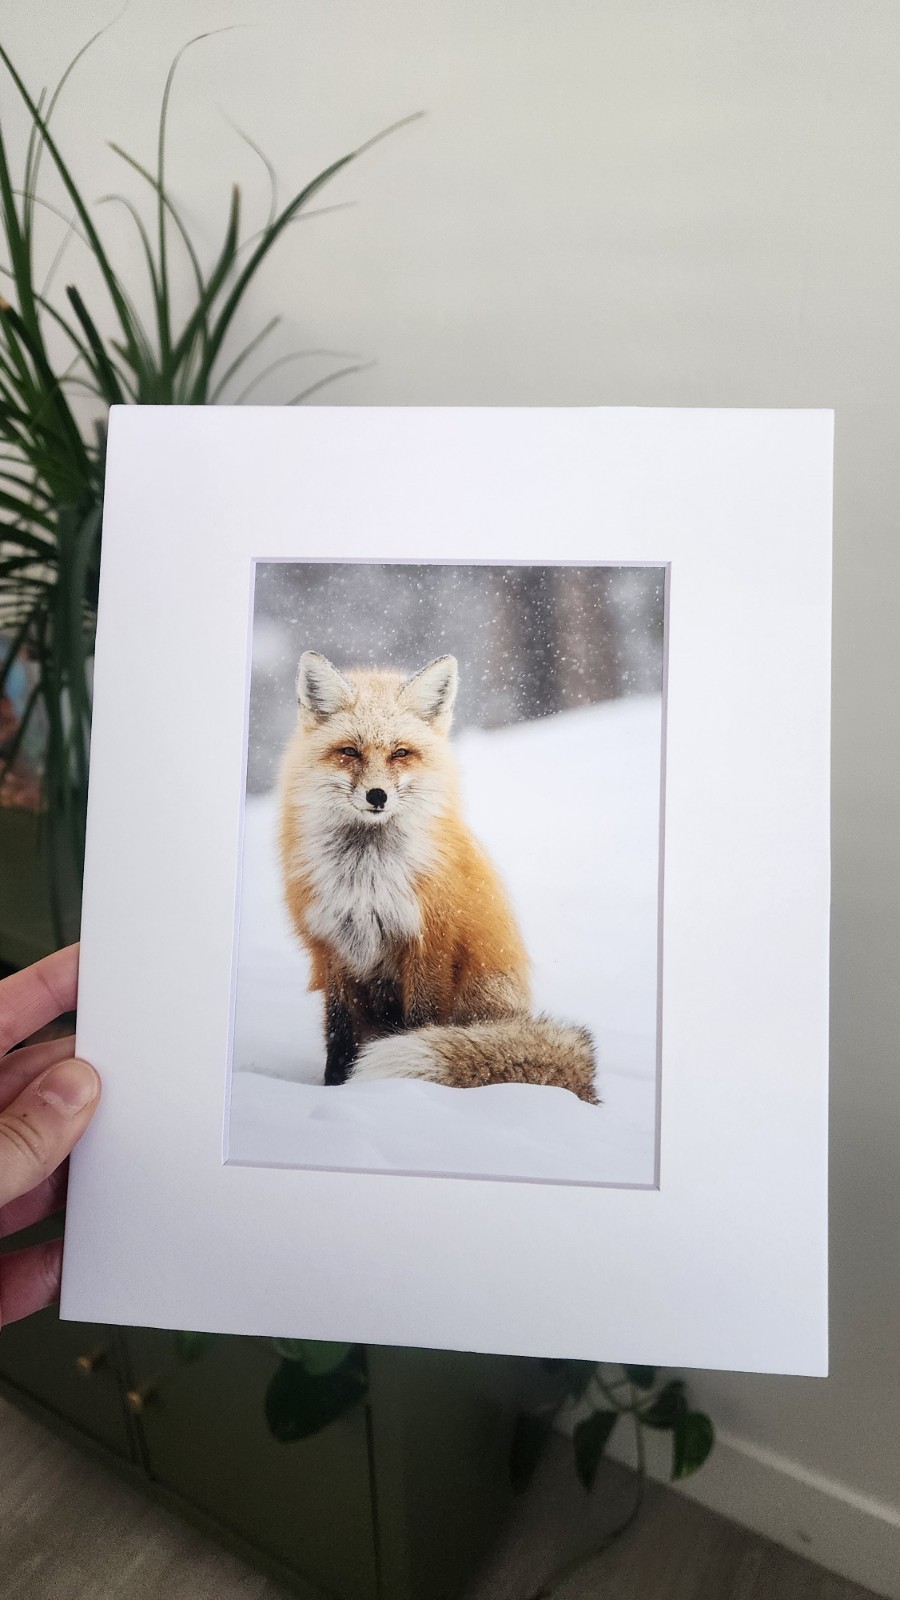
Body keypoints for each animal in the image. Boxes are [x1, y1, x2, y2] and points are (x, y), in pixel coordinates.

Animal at [277, 650, 597, 1103]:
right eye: (350, 752)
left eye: (400, 753)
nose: (377, 796)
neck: (367, 878)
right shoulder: (333, 947)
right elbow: (339, 1033)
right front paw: (334, 1088)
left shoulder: (430, 944)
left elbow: (421, 1022)